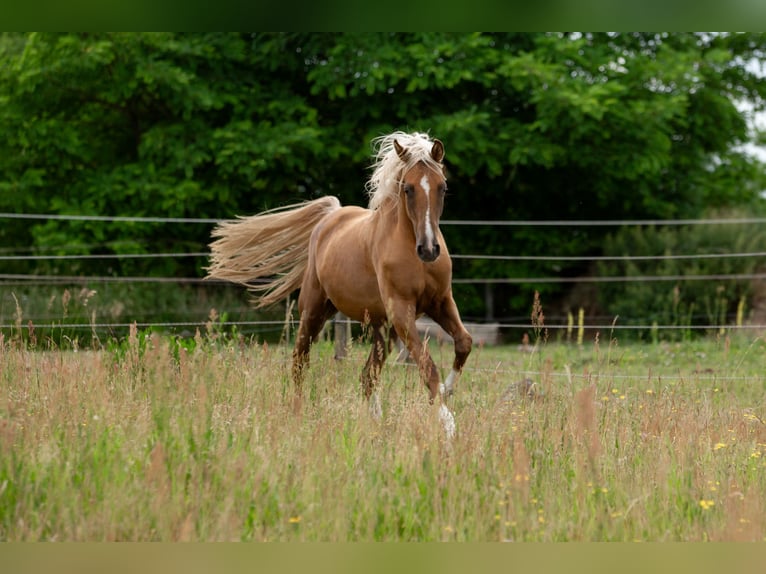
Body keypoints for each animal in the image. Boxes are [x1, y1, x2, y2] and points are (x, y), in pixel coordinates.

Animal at [206, 131, 472, 437]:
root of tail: (330, 216)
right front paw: (448, 424)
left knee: (367, 375)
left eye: (442, 187)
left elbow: (464, 342)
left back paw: (375, 425)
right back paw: (298, 416)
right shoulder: (401, 310)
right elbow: (428, 367)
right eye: (408, 188)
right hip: (315, 311)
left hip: (383, 328)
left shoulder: (440, 302)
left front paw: (447, 391)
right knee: (300, 363)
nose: (429, 250)